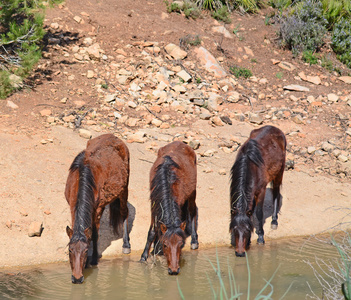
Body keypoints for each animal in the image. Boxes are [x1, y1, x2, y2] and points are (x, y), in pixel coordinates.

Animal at [65, 134, 131, 284]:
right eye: (70, 250)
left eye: (85, 251)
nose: (77, 278)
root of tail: (114, 137)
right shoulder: (71, 206)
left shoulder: (98, 209)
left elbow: (94, 234)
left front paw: (94, 259)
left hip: (124, 189)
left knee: (125, 213)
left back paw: (126, 245)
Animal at [140, 142, 199, 276]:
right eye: (165, 245)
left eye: (181, 245)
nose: (174, 270)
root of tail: (180, 142)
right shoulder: (154, 206)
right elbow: (152, 232)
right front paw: (144, 256)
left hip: (192, 193)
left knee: (192, 211)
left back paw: (194, 240)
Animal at [231, 125, 286, 256]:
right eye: (234, 229)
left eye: (247, 229)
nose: (240, 253)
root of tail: (275, 128)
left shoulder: (261, 191)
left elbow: (259, 212)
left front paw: (260, 237)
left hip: (279, 173)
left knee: (276, 193)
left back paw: (274, 221)